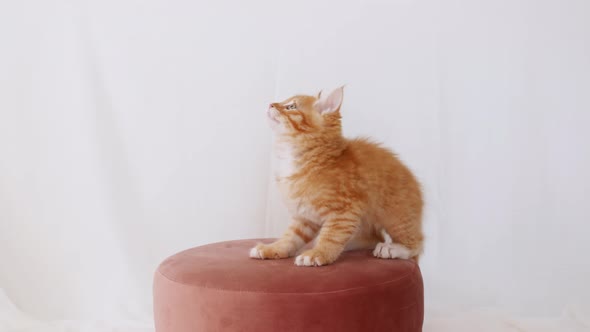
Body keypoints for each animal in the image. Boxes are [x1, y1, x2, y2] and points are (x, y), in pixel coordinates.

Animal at [250, 87, 426, 266]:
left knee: (416, 244)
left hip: (397, 216)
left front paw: (317, 254)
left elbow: (331, 237)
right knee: (375, 237)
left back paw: (393, 249)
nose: (271, 104)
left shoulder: (345, 212)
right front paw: (274, 248)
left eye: (291, 106)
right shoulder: (304, 215)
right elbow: (290, 237)